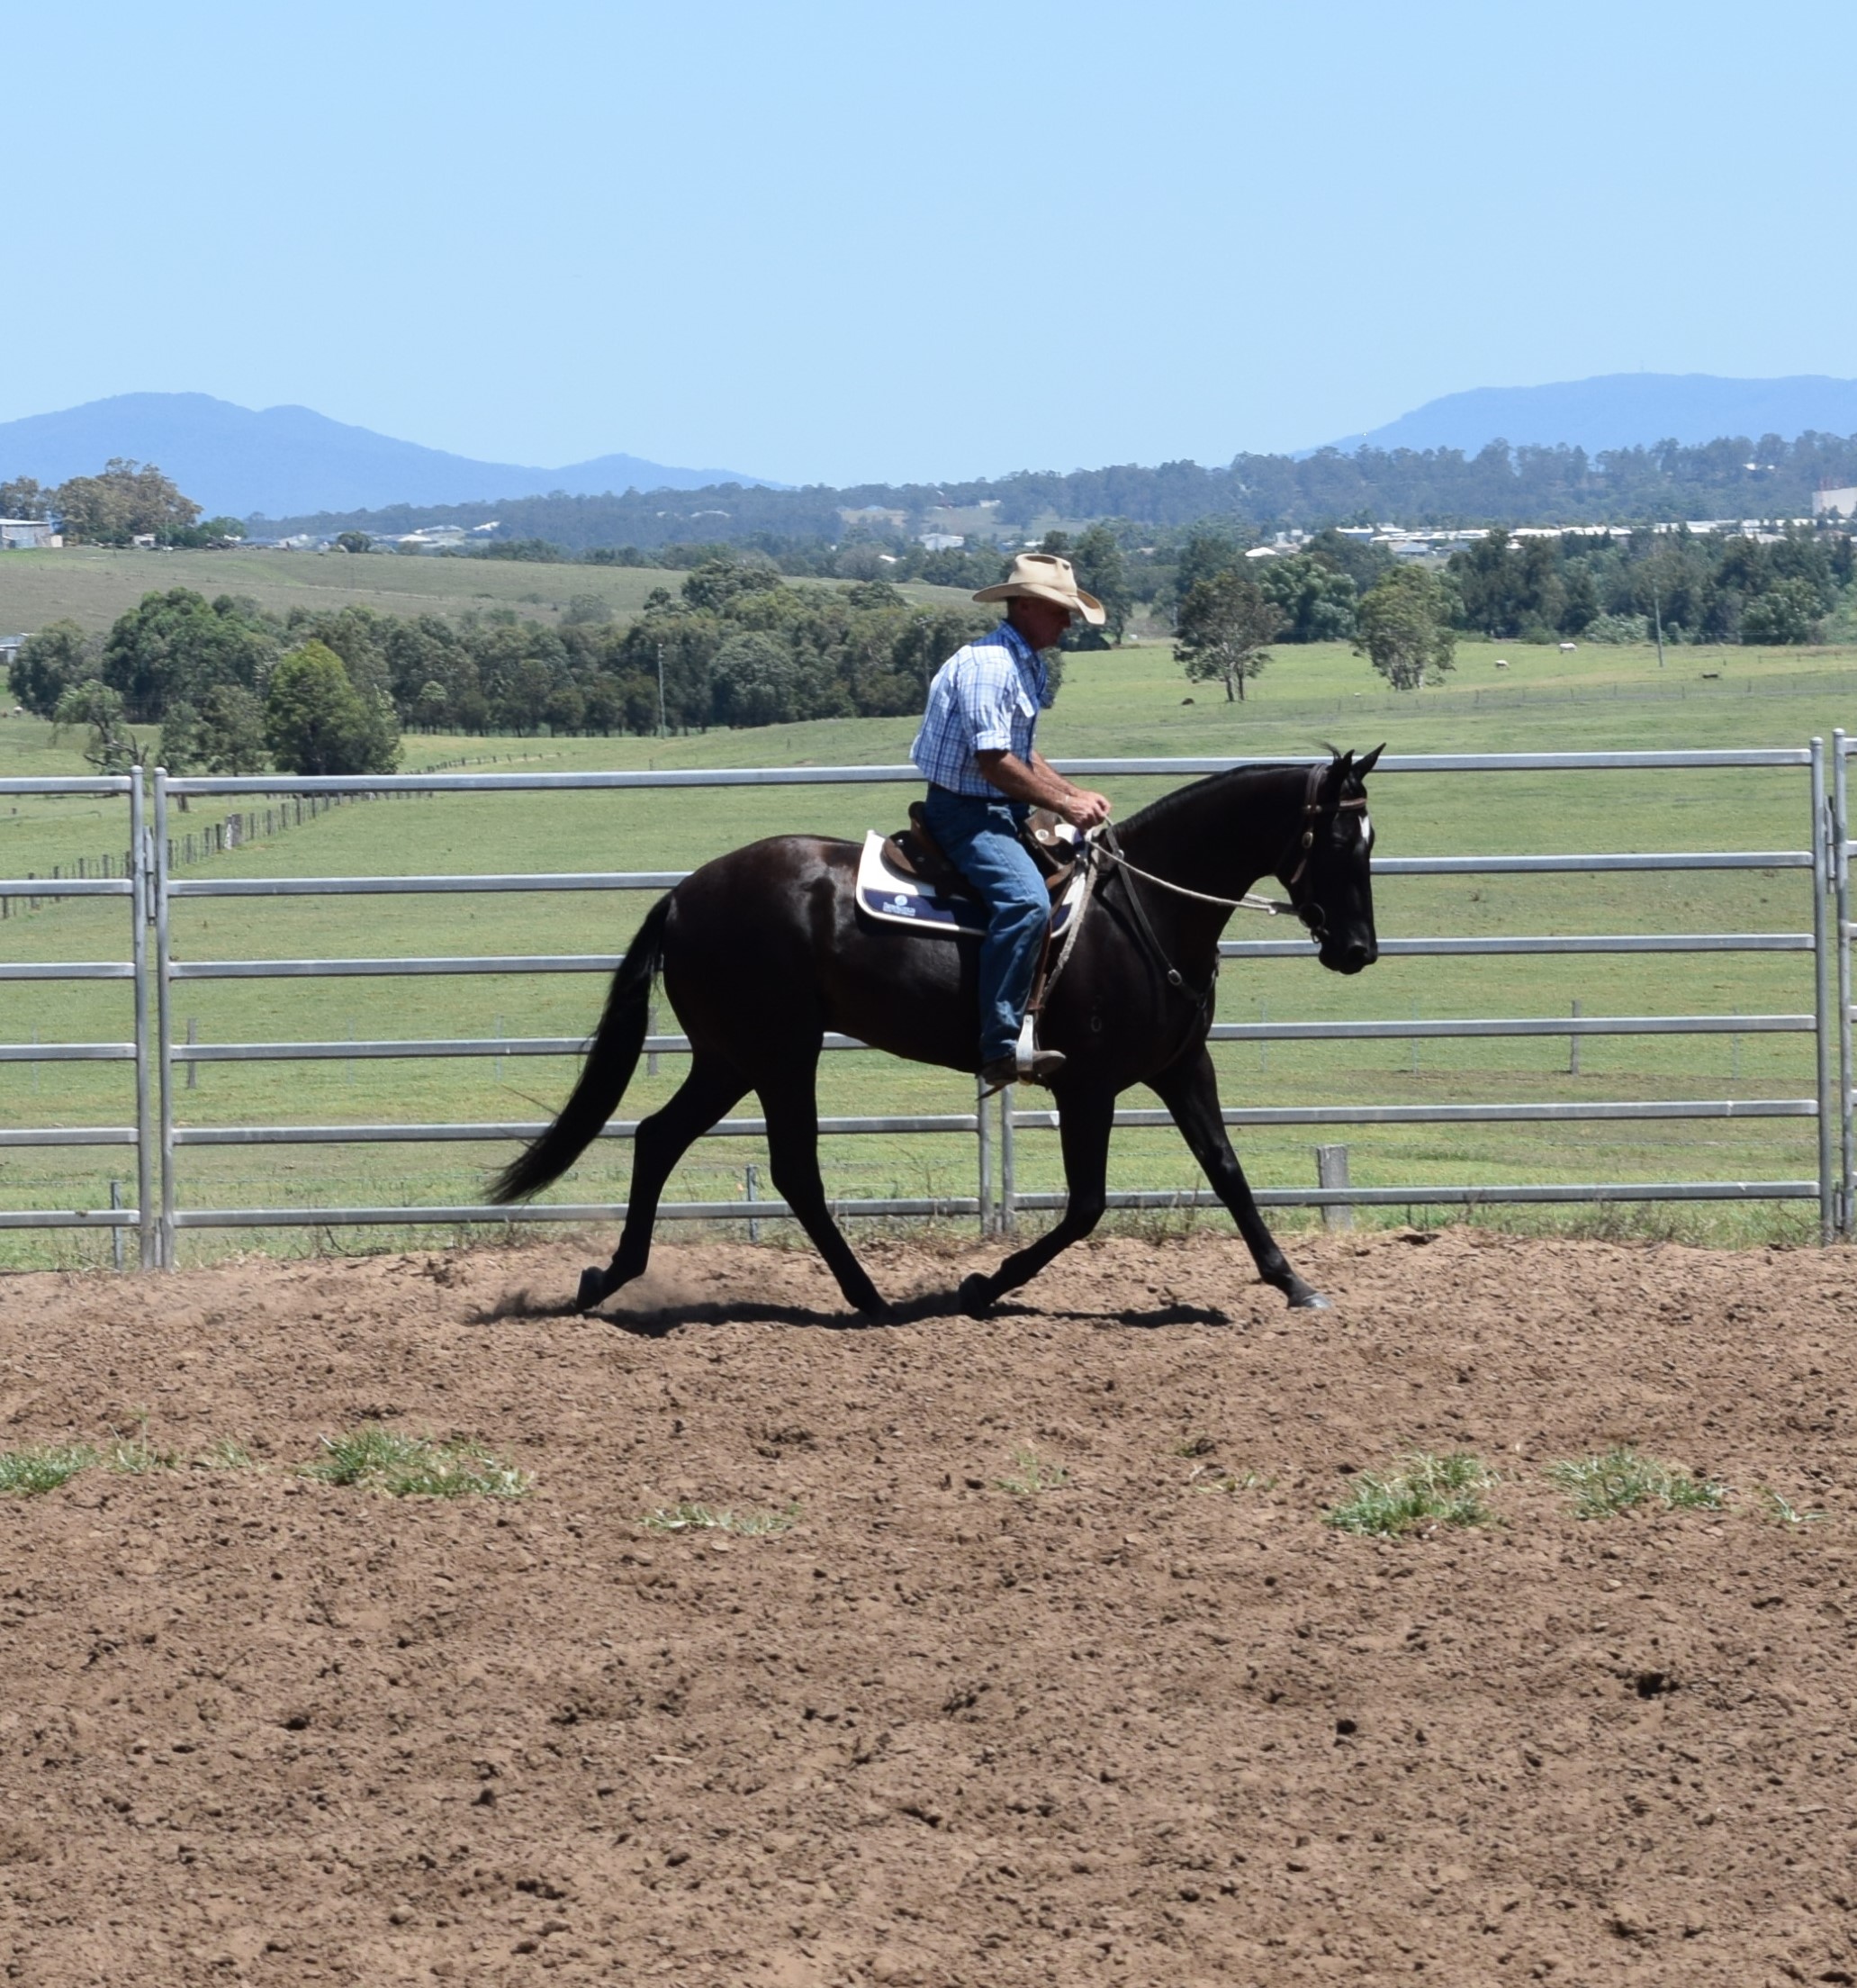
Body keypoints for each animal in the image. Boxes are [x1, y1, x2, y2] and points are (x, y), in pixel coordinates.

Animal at [488, 746, 1383, 1318]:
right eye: (1339, 839)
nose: (1357, 950)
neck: (1141, 912)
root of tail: (682, 896)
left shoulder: (1181, 1066)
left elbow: (1227, 1172)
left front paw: (1293, 1283)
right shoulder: (1086, 1085)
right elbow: (1086, 1206)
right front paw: (983, 1286)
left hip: (730, 1057)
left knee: (657, 1138)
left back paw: (611, 1278)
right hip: (778, 1054)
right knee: (790, 1169)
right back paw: (868, 1298)